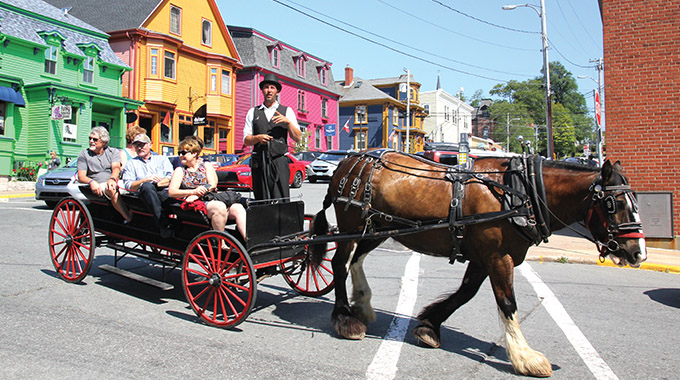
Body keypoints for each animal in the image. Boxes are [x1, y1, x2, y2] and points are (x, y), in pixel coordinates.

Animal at [310, 151, 644, 378]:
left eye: (636, 201)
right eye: (613, 204)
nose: (638, 252)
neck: (519, 194)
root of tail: (349, 160)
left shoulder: (485, 258)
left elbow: (465, 293)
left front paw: (429, 326)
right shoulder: (498, 257)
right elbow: (507, 303)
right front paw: (525, 357)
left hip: (377, 228)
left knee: (356, 260)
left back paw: (363, 306)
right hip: (353, 222)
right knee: (339, 263)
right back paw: (345, 319)